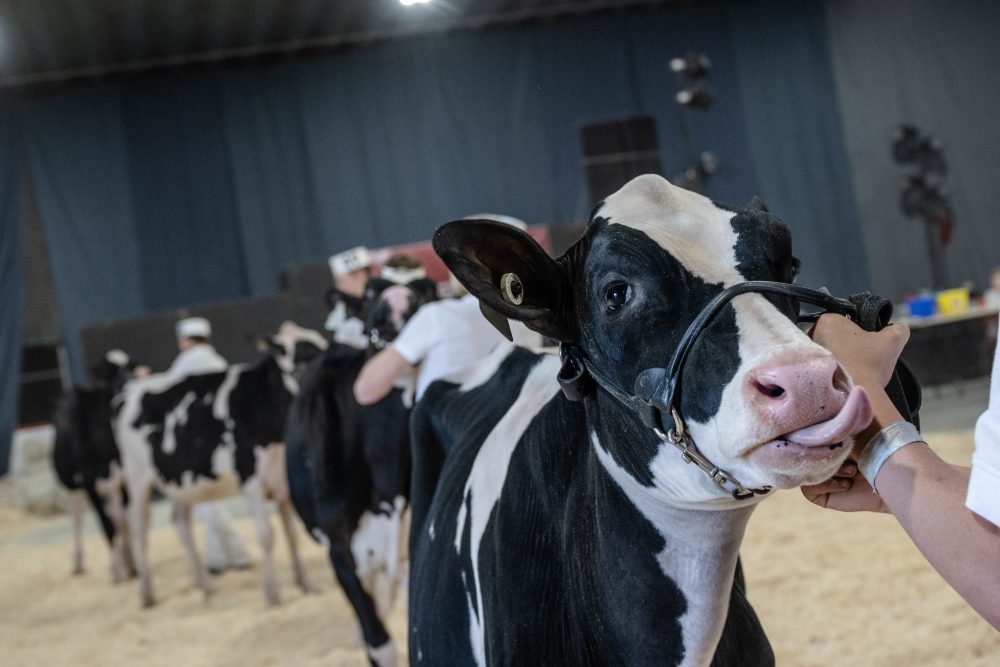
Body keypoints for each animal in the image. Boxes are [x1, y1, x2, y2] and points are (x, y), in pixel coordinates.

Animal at [52, 350, 136, 581]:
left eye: (130, 368)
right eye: (108, 373)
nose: (131, 383)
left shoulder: (125, 478)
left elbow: (125, 520)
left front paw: (132, 565)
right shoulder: (89, 483)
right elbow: (107, 525)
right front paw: (118, 575)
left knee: (116, 516)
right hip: (73, 486)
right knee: (78, 517)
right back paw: (79, 563)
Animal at [115, 321, 326, 608]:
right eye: (305, 359)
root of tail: (130, 393)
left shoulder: (282, 481)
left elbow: (292, 534)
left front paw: (307, 584)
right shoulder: (251, 480)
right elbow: (266, 534)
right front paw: (273, 595)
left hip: (180, 481)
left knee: (180, 523)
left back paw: (206, 587)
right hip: (137, 477)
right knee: (138, 526)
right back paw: (147, 595)